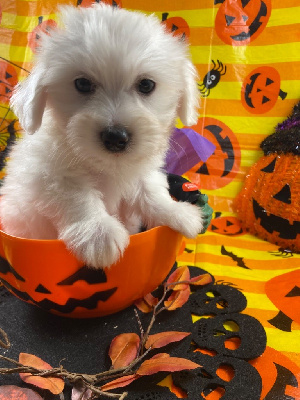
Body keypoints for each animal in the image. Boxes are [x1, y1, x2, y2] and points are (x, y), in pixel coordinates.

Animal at [0, 3, 204, 268]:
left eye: (146, 85)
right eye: (83, 84)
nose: (116, 137)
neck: (108, 167)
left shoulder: (142, 169)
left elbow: (151, 190)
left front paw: (176, 212)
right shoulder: (47, 174)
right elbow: (77, 197)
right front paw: (99, 233)